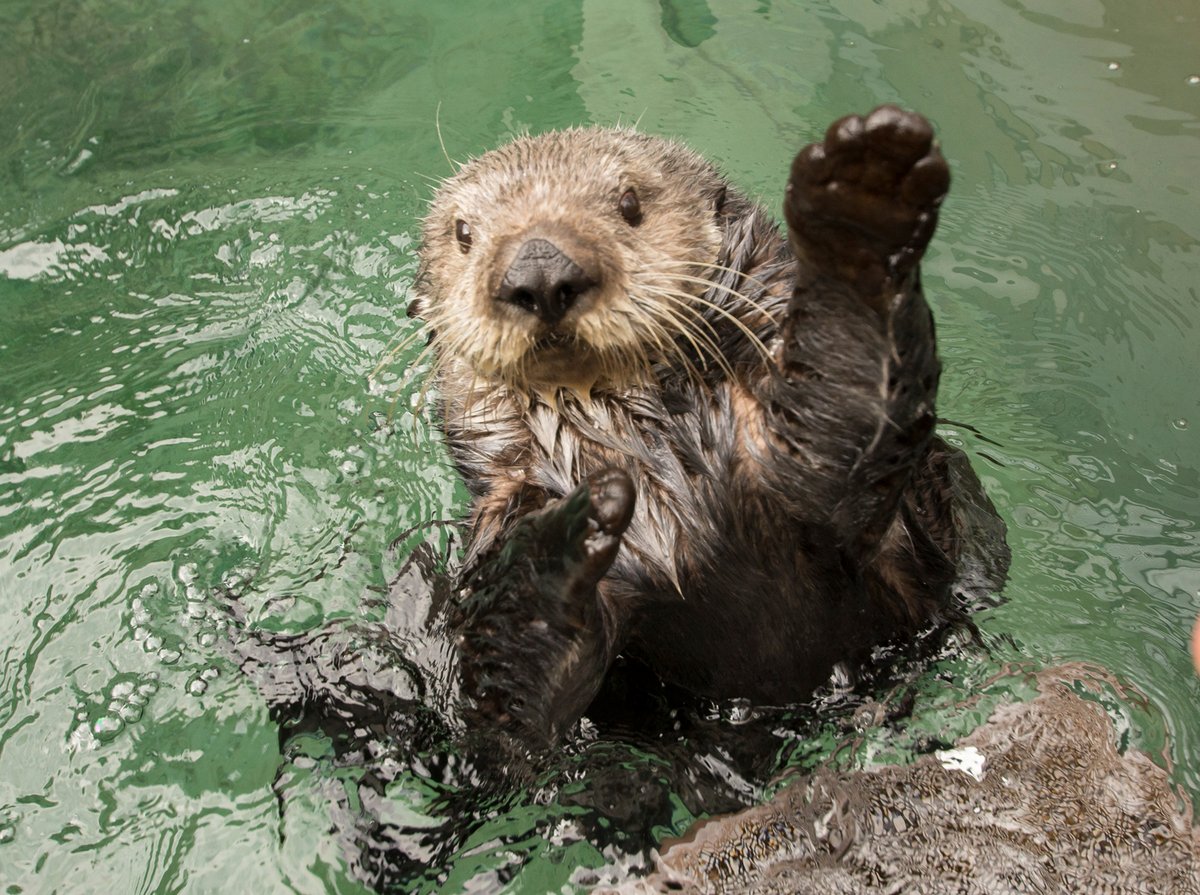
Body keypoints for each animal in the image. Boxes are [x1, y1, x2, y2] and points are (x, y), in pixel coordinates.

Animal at [412, 102, 1012, 743]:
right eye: (463, 233)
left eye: (630, 203)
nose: (540, 268)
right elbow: (520, 710)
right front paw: (552, 541)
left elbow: (847, 416)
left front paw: (865, 208)